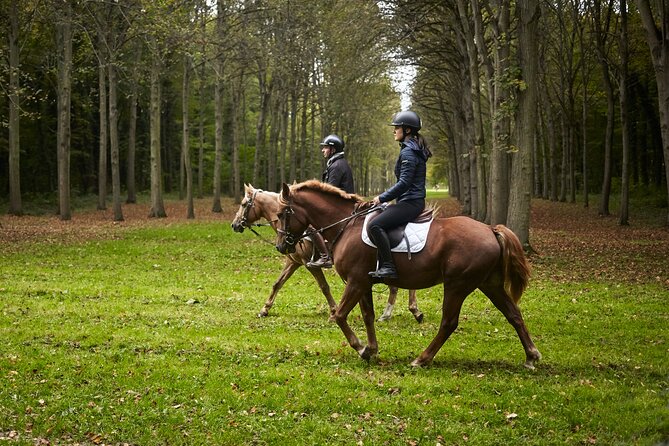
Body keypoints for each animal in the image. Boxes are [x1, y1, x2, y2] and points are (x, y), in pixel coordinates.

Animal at [231, 183, 422, 322]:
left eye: (243, 204)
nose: (234, 224)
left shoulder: (310, 265)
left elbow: (324, 287)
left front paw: (333, 311)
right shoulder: (294, 262)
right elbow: (277, 283)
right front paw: (264, 309)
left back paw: (407, 310)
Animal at [274, 179, 540, 368]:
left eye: (281, 214)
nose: (281, 246)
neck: (346, 225)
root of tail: (490, 229)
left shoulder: (356, 281)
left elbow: (340, 315)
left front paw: (360, 347)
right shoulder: (364, 283)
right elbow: (368, 316)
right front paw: (371, 349)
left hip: (457, 285)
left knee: (449, 322)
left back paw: (422, 359)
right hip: (489, 283)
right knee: (513, 314)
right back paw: (531, 356)